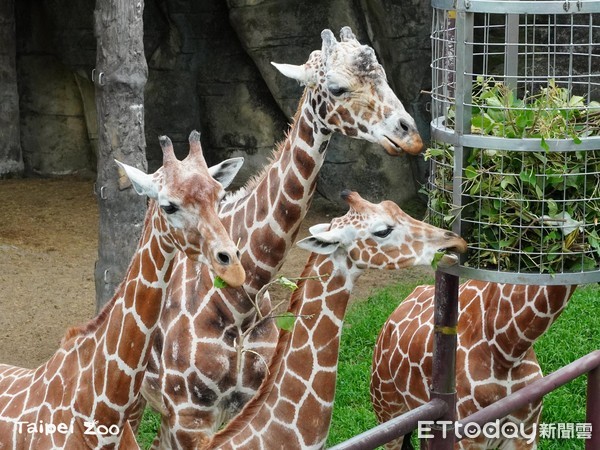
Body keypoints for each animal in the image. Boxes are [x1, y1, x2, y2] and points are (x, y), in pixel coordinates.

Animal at [139, 26, 426, 448]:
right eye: (337, 87)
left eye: (384, 75)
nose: (410, 135)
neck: (240, 302)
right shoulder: (192, 414)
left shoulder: (247, 399)